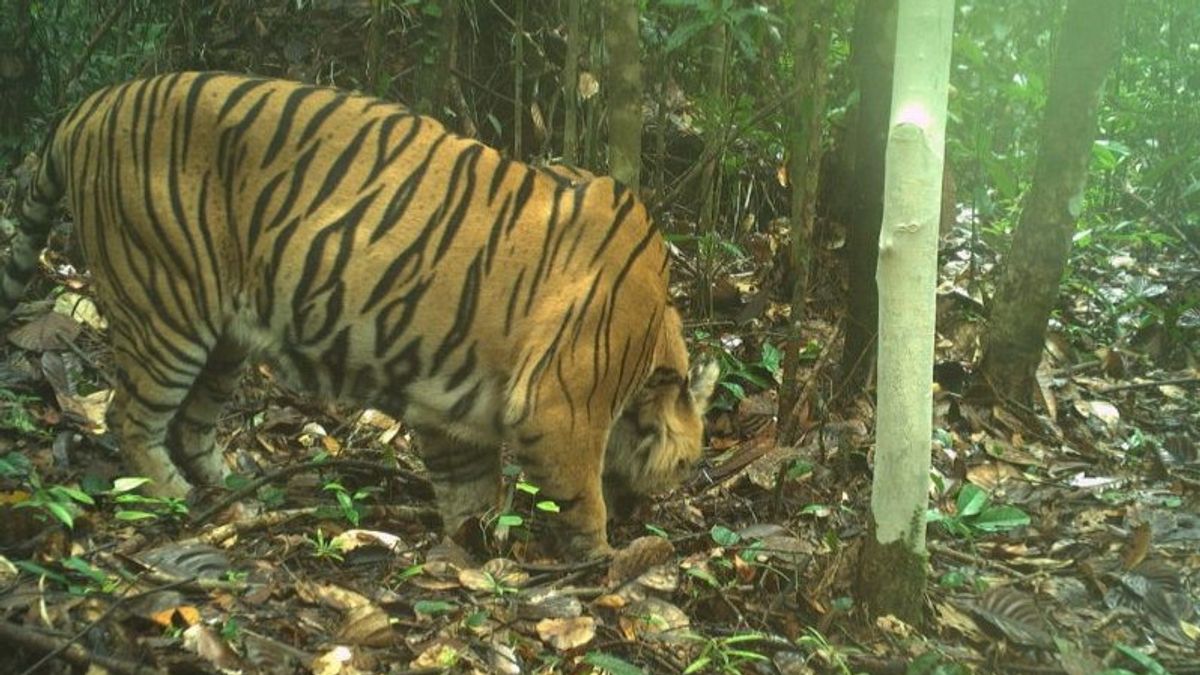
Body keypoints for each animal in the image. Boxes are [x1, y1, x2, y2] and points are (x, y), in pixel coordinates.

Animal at [0, 72, 718, 559]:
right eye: (686, 465)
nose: (649, 509)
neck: (653, 342)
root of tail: (86, 108)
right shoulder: (560, 405)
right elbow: (579, 493)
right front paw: (602, 556)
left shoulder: (452, 407)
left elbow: (468, 487)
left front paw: (475, 546)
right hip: (166, 303)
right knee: (130, 415)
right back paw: (173, 494)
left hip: (224, 339)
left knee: (192, 422)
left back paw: (238, 493)